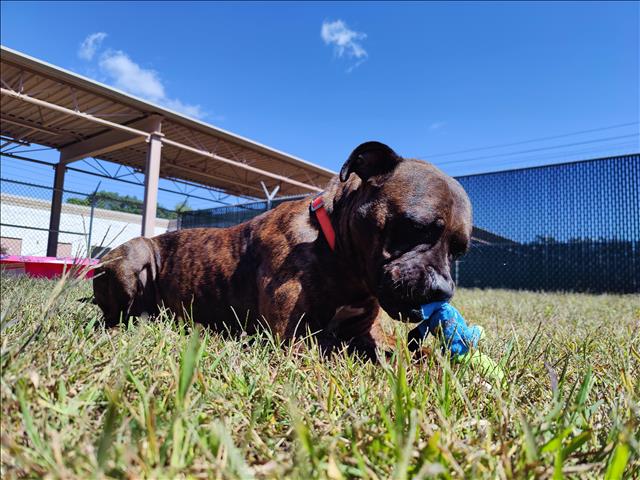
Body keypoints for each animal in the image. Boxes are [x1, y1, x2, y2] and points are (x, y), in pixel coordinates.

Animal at [96, 141, 476, 358]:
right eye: (415, 227)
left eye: (459, 251)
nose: (443, 291)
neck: (336, 252)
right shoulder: (294, 337)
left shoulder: (367, 333)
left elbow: (410, 355)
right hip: (133, 257)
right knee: (116, 318)